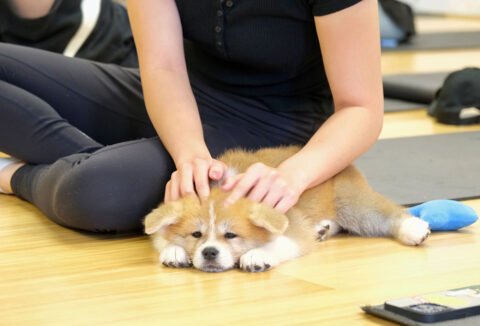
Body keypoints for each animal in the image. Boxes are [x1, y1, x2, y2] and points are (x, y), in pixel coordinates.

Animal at [143, 146, 432, 272]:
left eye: (231, 235)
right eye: (196, 235)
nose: (210, 252)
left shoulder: (292, 228)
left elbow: (278, 243)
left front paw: (257, 255)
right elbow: (163, 238)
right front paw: (174, 250)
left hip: (353, 205)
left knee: (387, 212)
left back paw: (414, 228)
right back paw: (322, 229)